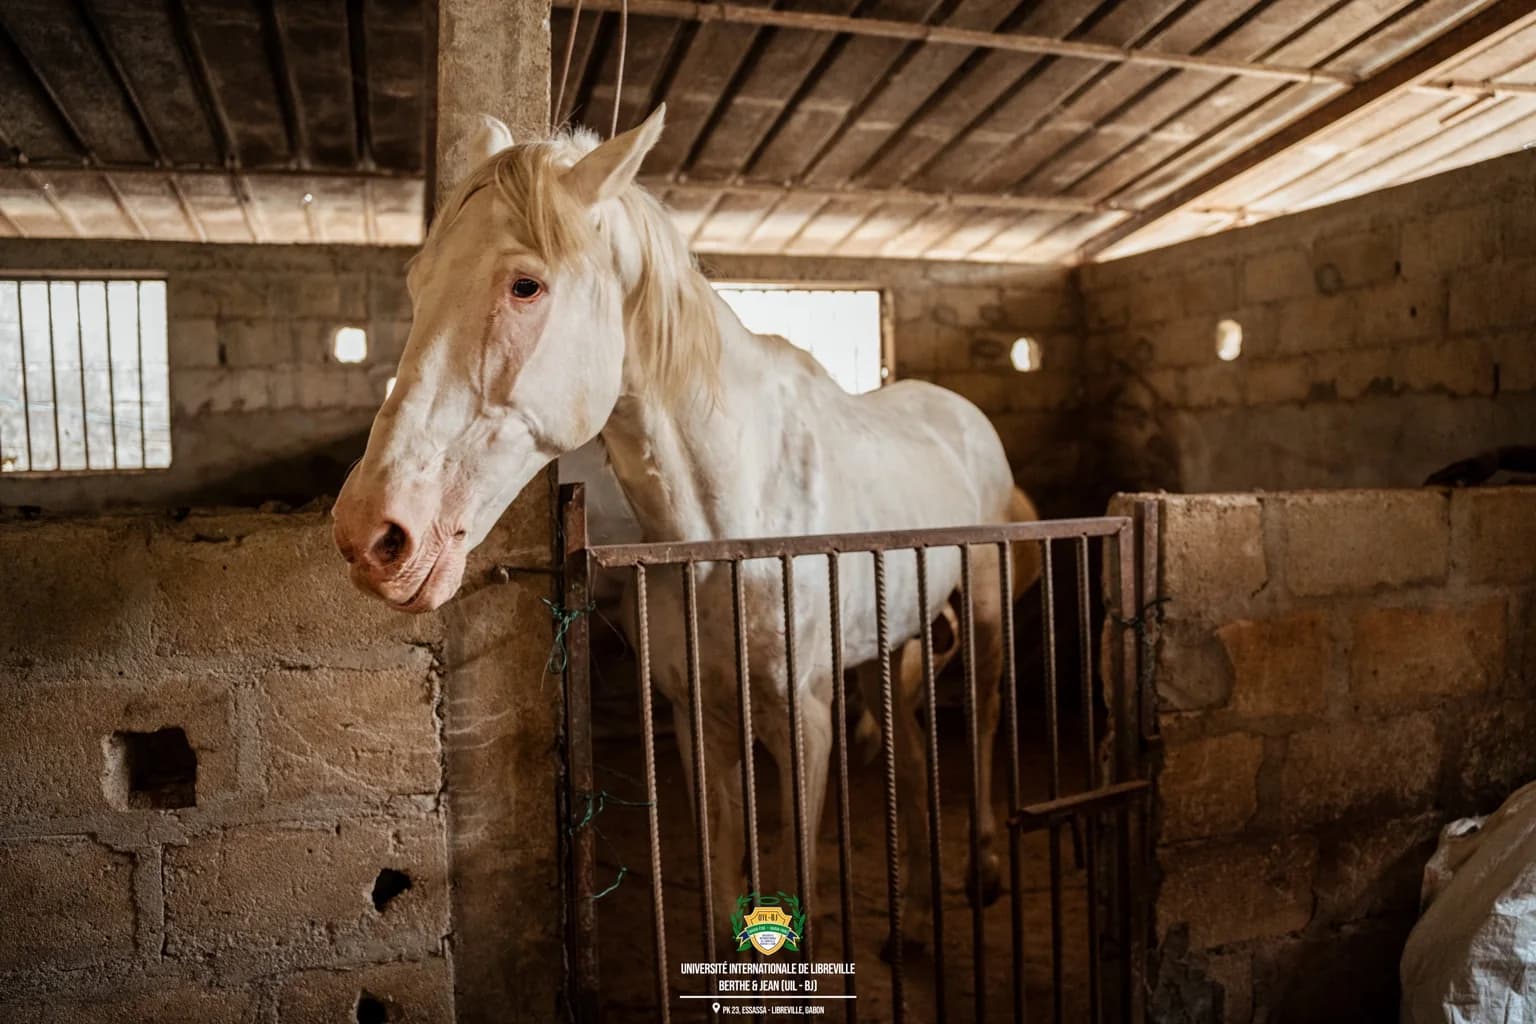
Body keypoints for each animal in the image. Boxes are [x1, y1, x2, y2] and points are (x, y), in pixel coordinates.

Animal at [331, 105, 1040, 955]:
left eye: (525, 284)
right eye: (417, 283)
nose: (372, 536)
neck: (728, 530)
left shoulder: (805, 724)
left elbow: (798, 884)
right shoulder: (696, 722)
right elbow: (727, 877)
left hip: (988, 620)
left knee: (985, 722)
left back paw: (986, 867)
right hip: (887, 635)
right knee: (911, 739)